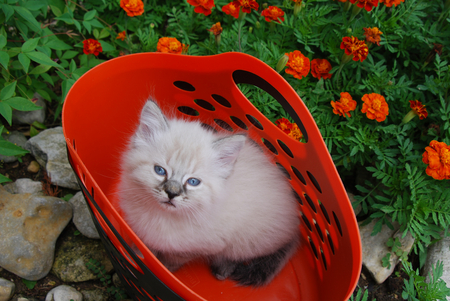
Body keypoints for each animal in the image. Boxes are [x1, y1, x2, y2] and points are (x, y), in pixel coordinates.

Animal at [119, 99, 300, 284]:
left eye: (193, 182)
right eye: (160, 170)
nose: (171, 193)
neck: (162, 216)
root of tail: (295, 226)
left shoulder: (198, 247)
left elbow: (171, 259)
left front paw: (163, 268)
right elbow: (144, 246)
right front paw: (138, 254)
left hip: (245, 244)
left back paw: (222, 271)